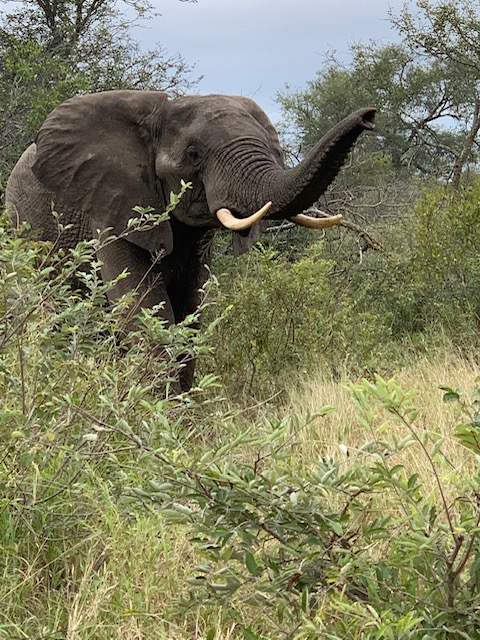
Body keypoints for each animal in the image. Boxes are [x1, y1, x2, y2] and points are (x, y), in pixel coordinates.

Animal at [5, 90, 375, 390]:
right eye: (194, 154)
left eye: (274, 150)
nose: (369, 116)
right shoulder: (112, 210)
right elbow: (144, 310)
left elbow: (190, 312)